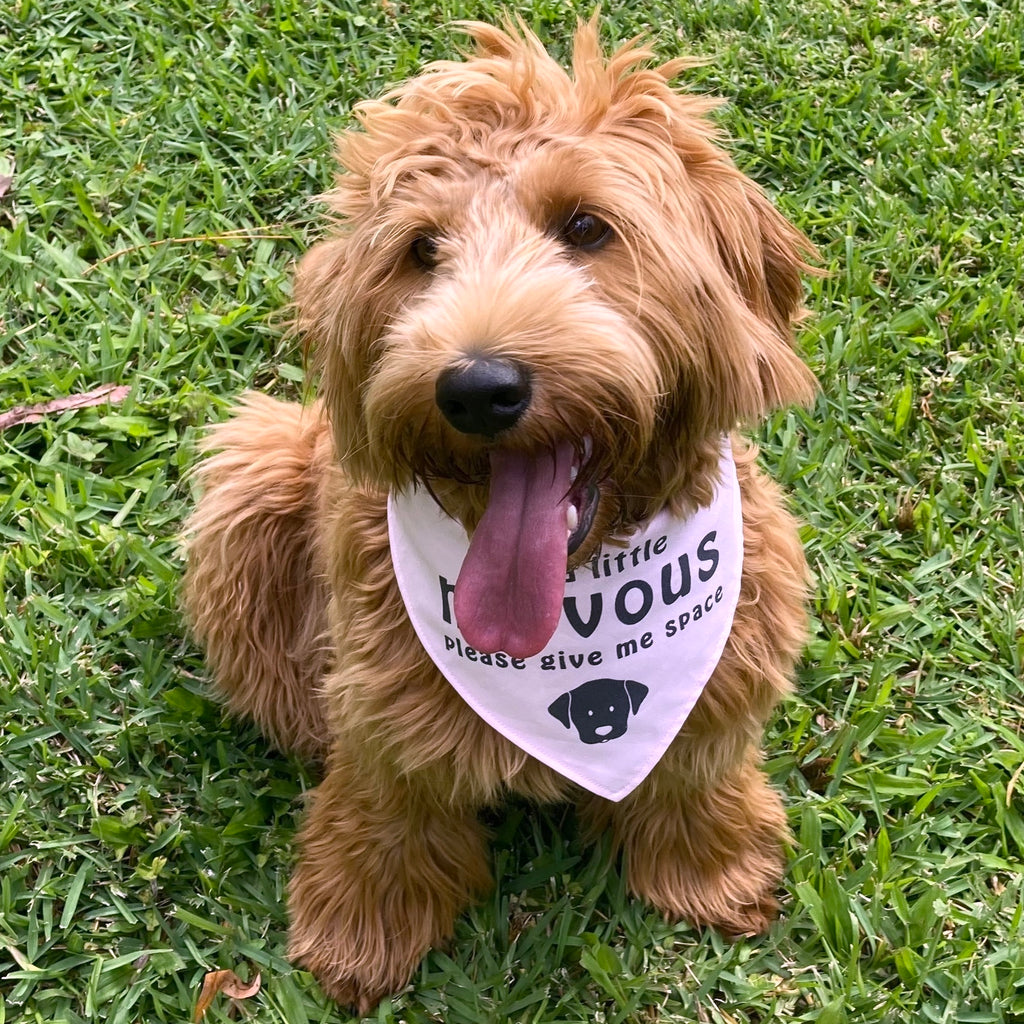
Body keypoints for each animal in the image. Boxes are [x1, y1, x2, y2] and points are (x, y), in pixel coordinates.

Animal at [182, 19, 815, 1011]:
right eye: (421, 250)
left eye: (586, 226)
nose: (477, 388)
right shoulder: (378, 704)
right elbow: (384, 811)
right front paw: (361, 928)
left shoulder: (725, 663)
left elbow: (694, 768)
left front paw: (711, 870)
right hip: (256, 469)